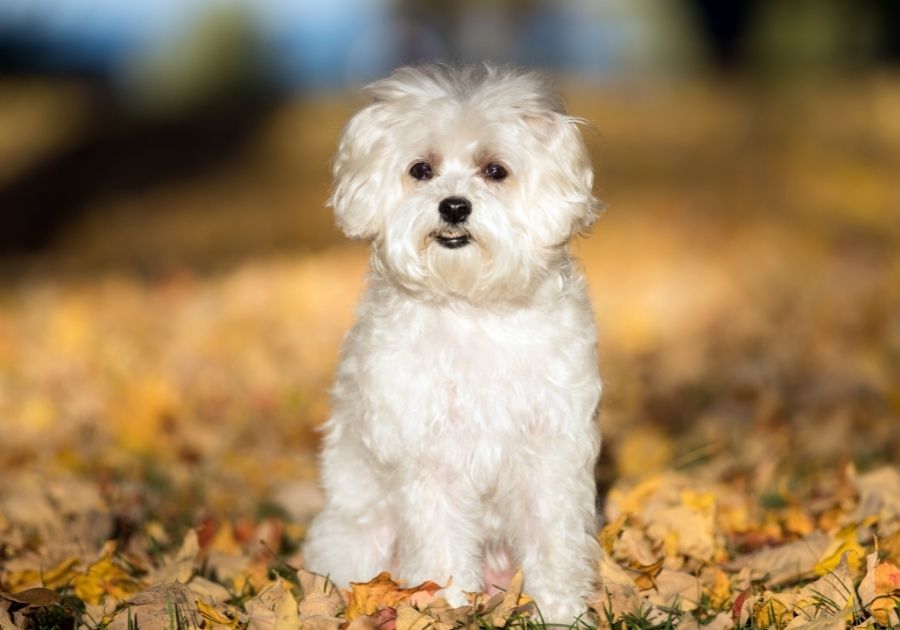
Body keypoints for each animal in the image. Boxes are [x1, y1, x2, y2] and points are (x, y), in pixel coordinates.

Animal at [304, 64, 604, 628]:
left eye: (495, 171)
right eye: (421, 169)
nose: (454, 206)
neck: (472, 305)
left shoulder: (548, 454)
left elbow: (552, 541)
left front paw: (559, 612)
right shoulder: (430, 462)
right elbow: (441, 549)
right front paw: (448, 609)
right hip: (358, 538)